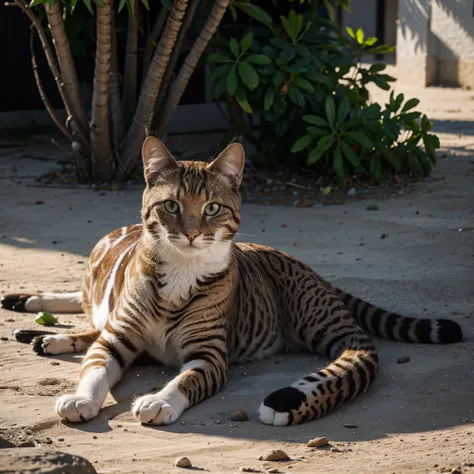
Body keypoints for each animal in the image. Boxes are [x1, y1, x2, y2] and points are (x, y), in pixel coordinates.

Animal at [2, 136, 462, 426]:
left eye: (211, 208)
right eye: (171, 206)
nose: (190, 232)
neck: (181, 270)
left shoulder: (209, 355)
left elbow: (186, 379)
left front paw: (158, 400)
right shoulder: (117, 338)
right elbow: (96, 368)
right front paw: (82, 396)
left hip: (323, 323)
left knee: (359, 352)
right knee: (88, 312)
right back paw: (36, 317)